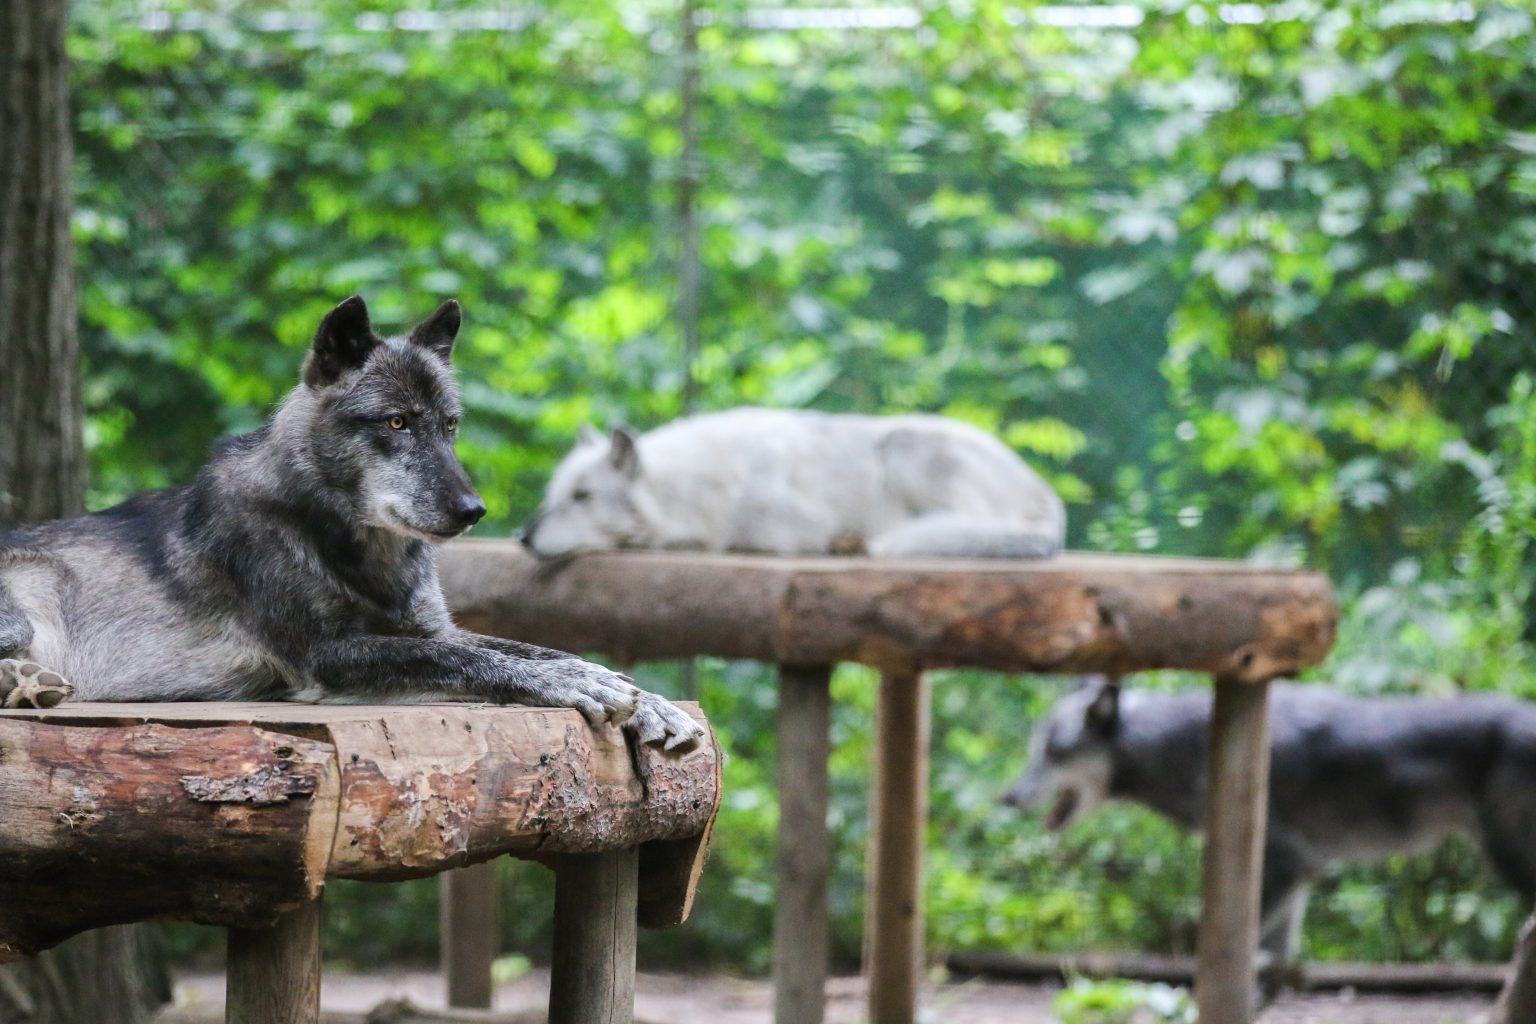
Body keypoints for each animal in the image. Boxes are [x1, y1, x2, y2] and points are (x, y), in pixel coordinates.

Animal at [0, 296, 703, 751]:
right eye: (396, 422)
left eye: (450, 425)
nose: (474, 512)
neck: (351, 547)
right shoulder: (324, 656)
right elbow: (467, 661)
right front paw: (577, 685)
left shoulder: (432, 626)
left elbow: (525, 647)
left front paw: (646, 701)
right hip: (23, 609)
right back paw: (25, 686)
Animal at [519, 408, 1066, 559]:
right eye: (553, 496)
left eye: (582, 497)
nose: (522, 536)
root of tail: (1048, 499)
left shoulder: (780, 531)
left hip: (903, 445)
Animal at [1003, 676, 1536, 979]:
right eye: (1032, 749)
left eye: (1052, 752)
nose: (1005, 797)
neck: (1182, 744)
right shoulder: (1299, 874)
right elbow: (1275, 958)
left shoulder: (1285, 863)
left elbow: (1227, 956)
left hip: (1508, 857)